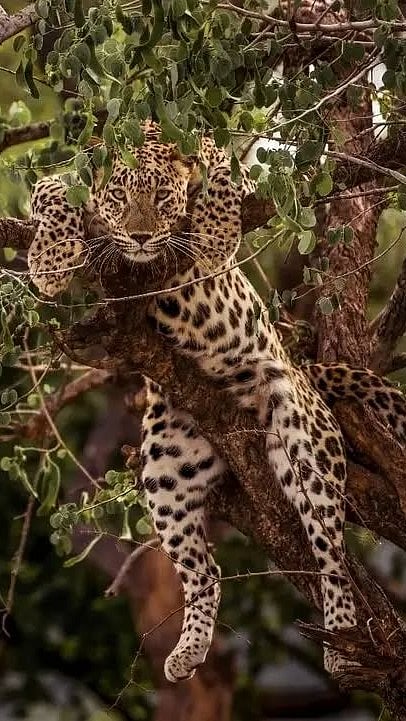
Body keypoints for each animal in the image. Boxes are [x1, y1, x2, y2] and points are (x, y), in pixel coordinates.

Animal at [28, 121, 406, 683]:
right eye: (119, 199)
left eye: (162, 198)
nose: (140, 237)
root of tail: (304, 370)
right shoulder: (70, 182)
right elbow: (51, 188)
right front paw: (50, 260)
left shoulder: (224, 165)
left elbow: (223, 171)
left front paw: (215, 234)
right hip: (164, 472)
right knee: (207, 568)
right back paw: (187, 651)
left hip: (304, 442)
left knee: (333, 553)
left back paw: (340, 637)